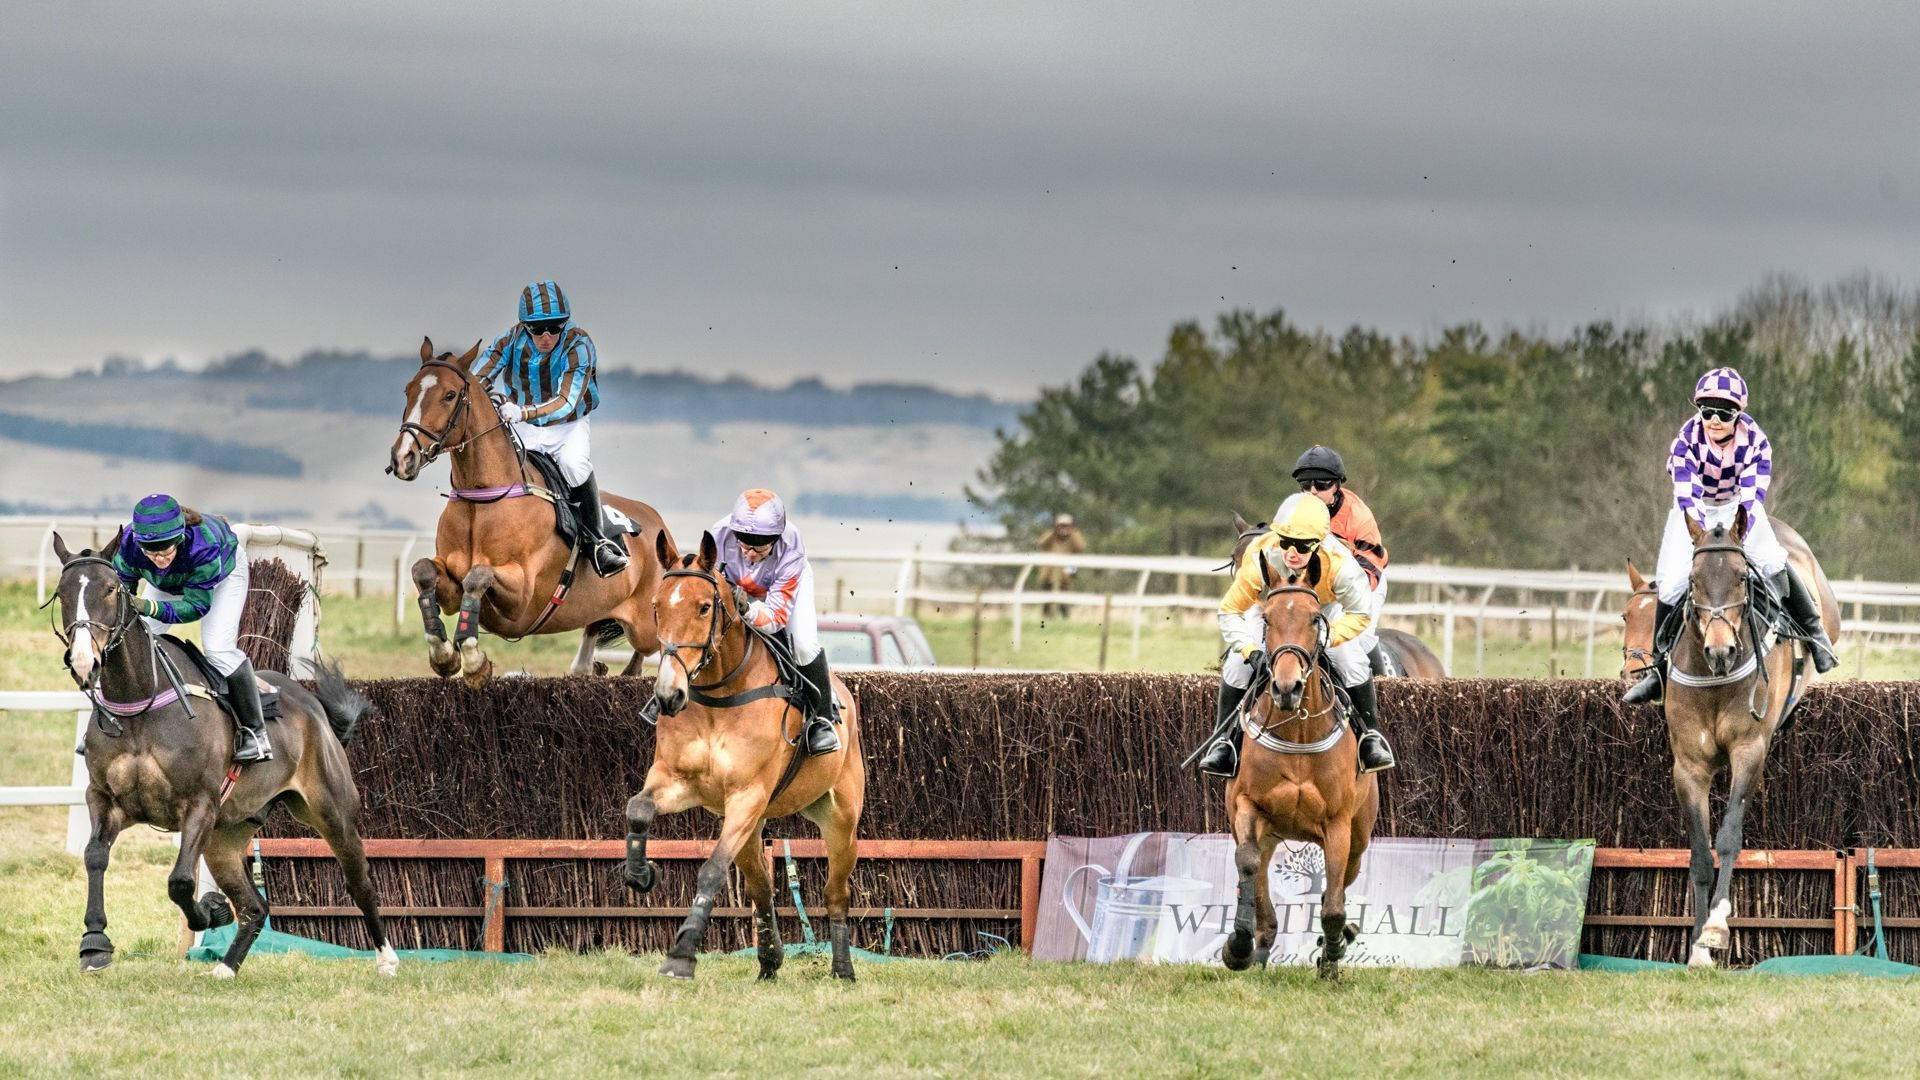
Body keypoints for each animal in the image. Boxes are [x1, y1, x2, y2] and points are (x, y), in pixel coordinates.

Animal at [50, 534, 393, 980]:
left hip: (331, 810)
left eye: (110, 589)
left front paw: (209, 912)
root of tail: (313, 705)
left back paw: (387, 959)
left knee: (360, 882)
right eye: (62, 593)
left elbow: (180, 881)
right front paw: (94, 944)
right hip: (226, 836)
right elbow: (94, 856)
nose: (83, 660)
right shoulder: (106, 799)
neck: (140, 703)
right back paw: (227, 967)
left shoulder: (200, 804)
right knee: (255, 906)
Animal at [384, 338, 675, 680]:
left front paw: (473, 659)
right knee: (594, 638)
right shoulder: (452, 582)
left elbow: (477, 577)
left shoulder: (522, 595)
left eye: (450, 395)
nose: (403, 457)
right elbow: (424, 570)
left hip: (644, 624)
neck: (482, 498)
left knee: (654, 646)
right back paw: (592, 667)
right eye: (408, 390)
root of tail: (659, 525)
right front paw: (444, 655)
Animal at [618, 526, 867, 976]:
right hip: (754, 827)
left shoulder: (747, 795)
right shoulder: (677, 782)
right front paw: (641, 874)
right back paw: (769, 960)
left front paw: (681, 955)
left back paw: (842, 968)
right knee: (761, 887)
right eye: (656, 607)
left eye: (703, 608)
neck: (720, 697)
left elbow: (713, 869)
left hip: (839, 819)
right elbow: (638, 807)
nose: (668, 696)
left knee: (835, 893)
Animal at [1221, 553, 1374, 976]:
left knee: (1340, 886)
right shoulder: (1248, 807)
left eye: (1314, 619)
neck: (1298, 732)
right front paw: (1238, 946)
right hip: (1269, 832)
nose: (1287, 687)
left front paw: (1332, 955)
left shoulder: (1338, 825)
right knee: (1262, 886)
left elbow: (1334, 906)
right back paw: (1259, 948)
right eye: (1267, 620)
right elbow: (1247, 863)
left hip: (1360, 836)